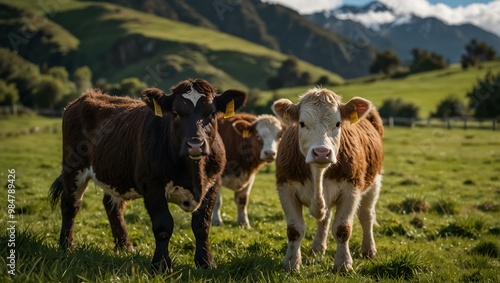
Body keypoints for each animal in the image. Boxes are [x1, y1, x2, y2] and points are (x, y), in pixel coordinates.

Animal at [48, 78, 248, 272]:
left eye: (212, 114)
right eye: (175, 113)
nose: (195, 144)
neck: (193, 171)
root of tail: (85, 97)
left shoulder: (213, 184)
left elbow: (202, 225)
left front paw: (206, 262)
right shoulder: (152, 185)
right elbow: (163, 225)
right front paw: (161, 265)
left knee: (113, 207)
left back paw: (125, 246)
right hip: (73, 168)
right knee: (70, 205)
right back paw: (66, 246)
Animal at [272, 87, 384, 272]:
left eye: (338, 124)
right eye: (302, 123)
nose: (322, 153)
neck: (318, 174)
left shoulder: (351, 190)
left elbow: (342, 228)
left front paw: (343, 264)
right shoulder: (285, 188)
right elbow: (295, 230)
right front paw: (291, 263)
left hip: (374, 182)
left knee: (366, 216)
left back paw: (369, 250)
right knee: (325, 220)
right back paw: (318, 248)